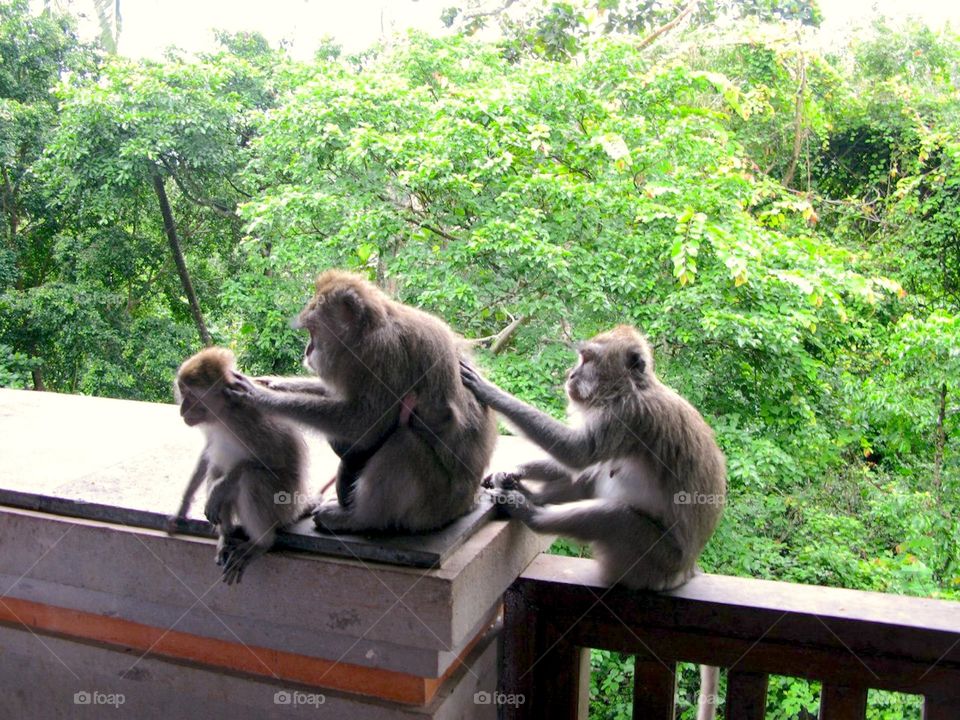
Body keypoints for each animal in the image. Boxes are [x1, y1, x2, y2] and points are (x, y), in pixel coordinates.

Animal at [170, 347, 310, 584]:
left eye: (191, 396)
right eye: (183, 392)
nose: (182, 411)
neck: (224, 412)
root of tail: (297, 508)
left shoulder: (248, 420)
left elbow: (275, 460)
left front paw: (217, 490)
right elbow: (208, 453)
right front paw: (184, 503)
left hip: (284, 506)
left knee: (252, 478)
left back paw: (261, 543)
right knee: (217, 468)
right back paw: (225, 536)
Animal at [224, 270, 497, 534]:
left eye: (314, 331)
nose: (307, 350)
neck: (371, 330)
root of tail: (467, 502)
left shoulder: (383, 356)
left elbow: (366, 424)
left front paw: (263, 397)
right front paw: (272, 383)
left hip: (435, 506)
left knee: (405, 443)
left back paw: (360, 519)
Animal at [459, 325, 725, 720]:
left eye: (587, 359)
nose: (571, 375)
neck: (630, 390)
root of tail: (687, 568)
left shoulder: (627, 418)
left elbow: (578, 452)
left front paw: (488, 390)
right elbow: (578, 463)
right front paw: (512, 471)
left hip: (654, 562)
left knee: (615, 515)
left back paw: (532, 514)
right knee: (591, 477)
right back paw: (523, 493)